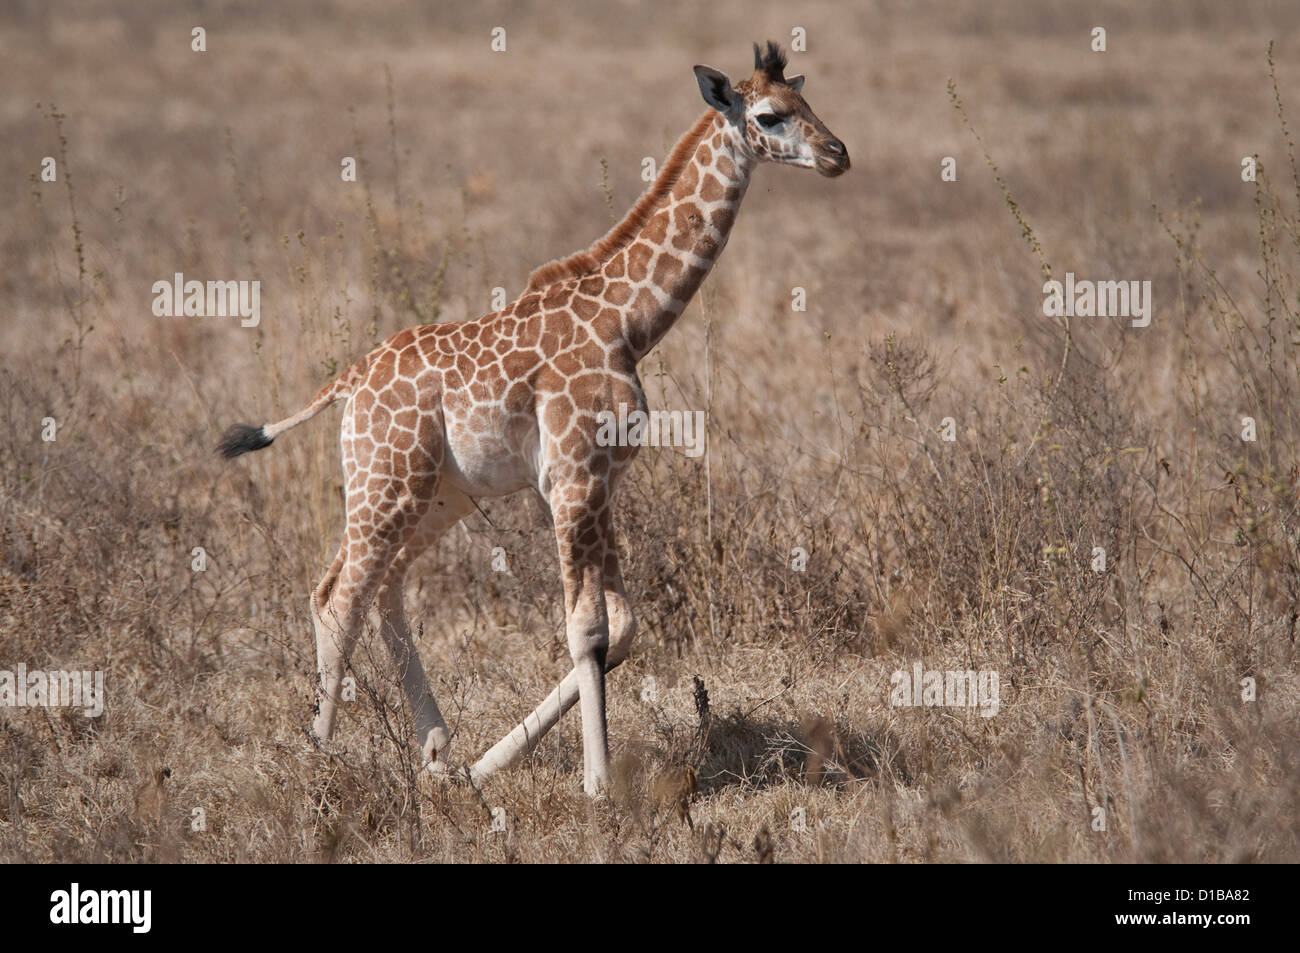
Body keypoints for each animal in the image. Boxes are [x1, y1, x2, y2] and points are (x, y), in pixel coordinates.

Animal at [218, 42, 847, 795]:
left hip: (438, 494)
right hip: (385, 483)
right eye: (770, 115)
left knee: (378, 586)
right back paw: (322, 759)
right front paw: (598, 785)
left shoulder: (598, 483)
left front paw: (490, 764)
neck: (628, 322)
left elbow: (622, 628)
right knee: (339, 594)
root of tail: (349, 380)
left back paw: (436, 751)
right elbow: (587, 630)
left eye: (809, 103)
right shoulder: (574, 479)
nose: (839, 153)